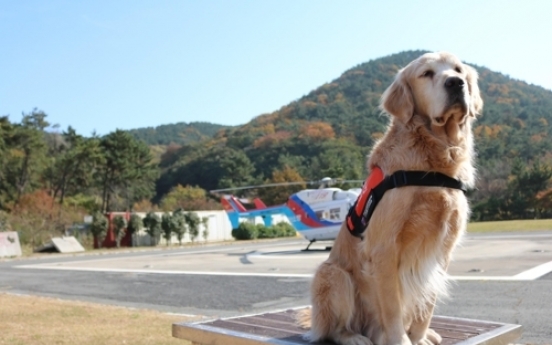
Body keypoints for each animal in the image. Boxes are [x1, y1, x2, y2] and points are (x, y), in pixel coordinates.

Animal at [298, 51, 484, 344]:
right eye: (426, 74)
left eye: (458, 70)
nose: (456, 83)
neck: (432, 162)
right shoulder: (384, 247)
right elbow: (392, 306)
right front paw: (401, 339)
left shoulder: (444, 247)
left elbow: (427, 302)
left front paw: (420, 336)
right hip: (332, 275)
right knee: (333, 329)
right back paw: (355, 336)